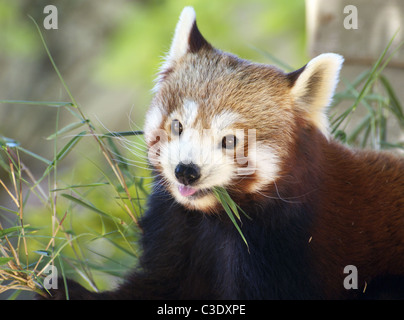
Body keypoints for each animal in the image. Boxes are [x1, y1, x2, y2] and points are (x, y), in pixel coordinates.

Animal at [40, 5, 404, 300]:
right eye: (177, 126)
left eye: (229, 141)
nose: (187, 171)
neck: (217, 219)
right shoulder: (179, 231)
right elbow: (158, 284)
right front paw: (63, 289)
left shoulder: (290, 247)